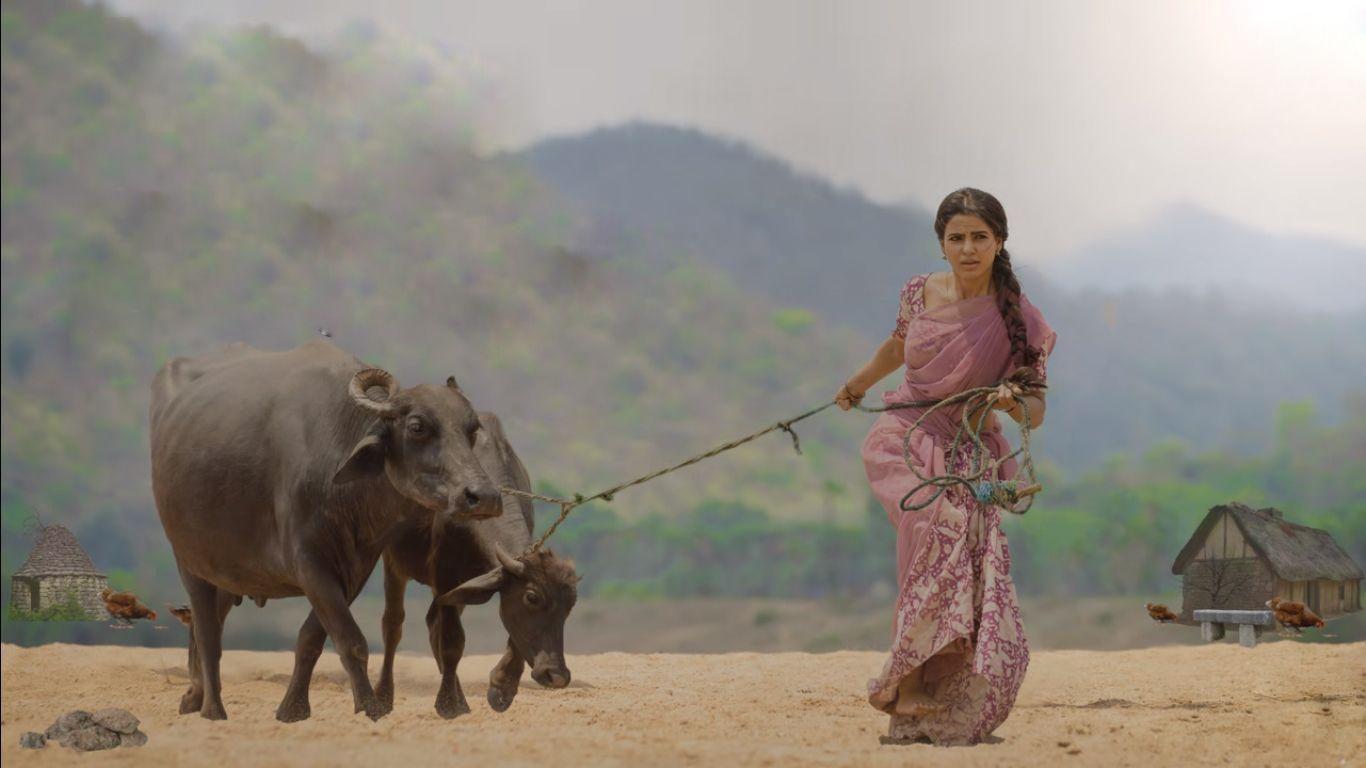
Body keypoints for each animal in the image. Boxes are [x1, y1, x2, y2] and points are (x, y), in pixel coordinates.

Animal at [150, 340, 502, 716]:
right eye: (417, 426)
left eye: (471, 430)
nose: (483, 496)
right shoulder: (308, 561)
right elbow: (351, 641)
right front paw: (369, 708)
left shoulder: (353, 567)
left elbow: (312, 638)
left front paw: (292, 709)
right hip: (189, 561)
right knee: (207, 634)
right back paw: (213, 709)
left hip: (230, 570)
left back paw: (195, 697)